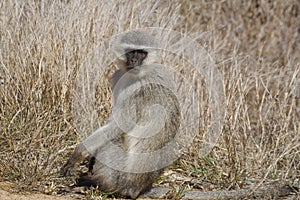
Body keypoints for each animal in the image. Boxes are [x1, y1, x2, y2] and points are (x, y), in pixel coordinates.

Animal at [61, 30, 179, 199]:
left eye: (141, 53)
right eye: (131, 52)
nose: (134, 60)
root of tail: (136, 189)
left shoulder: (139, 91)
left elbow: (118, 126)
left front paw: (79, 153)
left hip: (120, 175)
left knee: (111, 142)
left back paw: (96, 183)